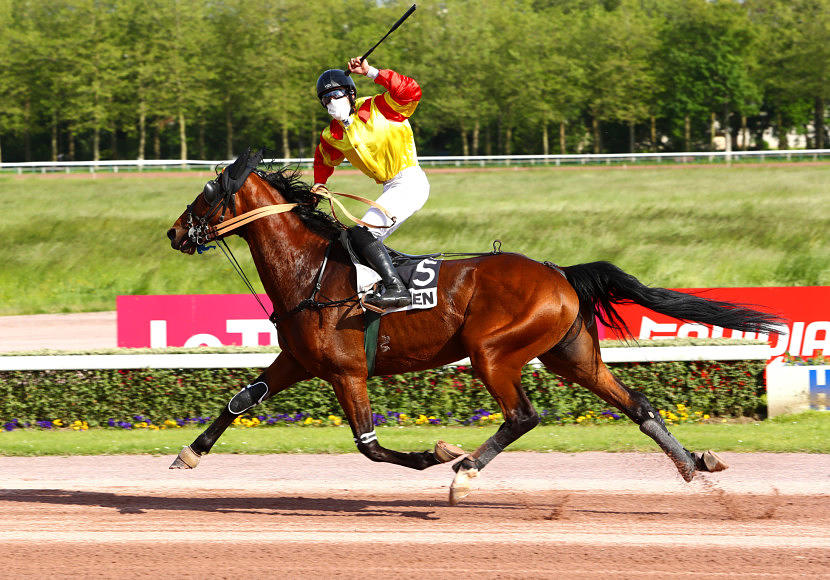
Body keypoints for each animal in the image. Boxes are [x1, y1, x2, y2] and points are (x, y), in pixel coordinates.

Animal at [166, 148, 784, 502]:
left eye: (206, 192)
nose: (174, 233)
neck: (311, 272)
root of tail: (560, 272)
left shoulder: (345, 371)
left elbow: (369, 446)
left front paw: (437, 454)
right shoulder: (299, 359)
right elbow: (240, 400)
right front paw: (189, 453)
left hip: (491, 351)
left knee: (523, 415)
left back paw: (465, 473)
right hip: (571, 354)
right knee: (639, 405)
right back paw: (693, 465)